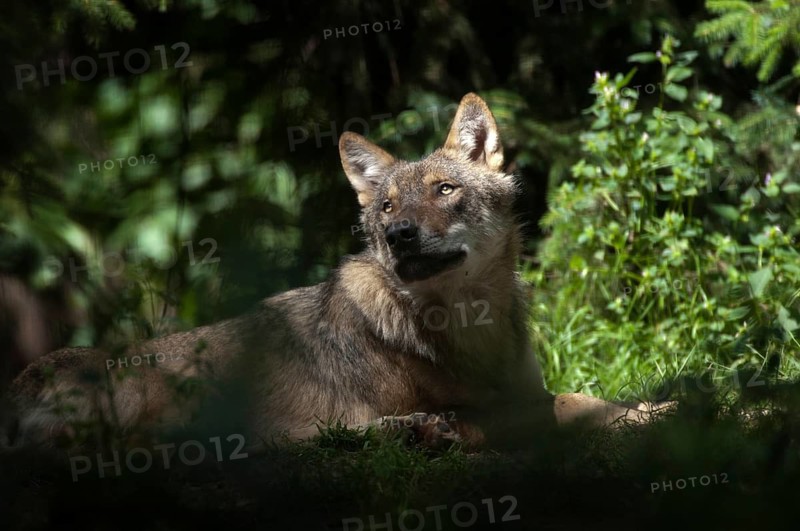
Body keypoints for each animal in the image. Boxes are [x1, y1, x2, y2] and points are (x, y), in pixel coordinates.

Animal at [6, 93, 660, 452]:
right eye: (388, 207)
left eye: (444, 190)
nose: (399, 235)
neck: (471, 326)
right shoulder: (504, 404)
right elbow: (577, 404)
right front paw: (662, 412)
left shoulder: (521, 388)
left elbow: (587, 396)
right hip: (145, 393)